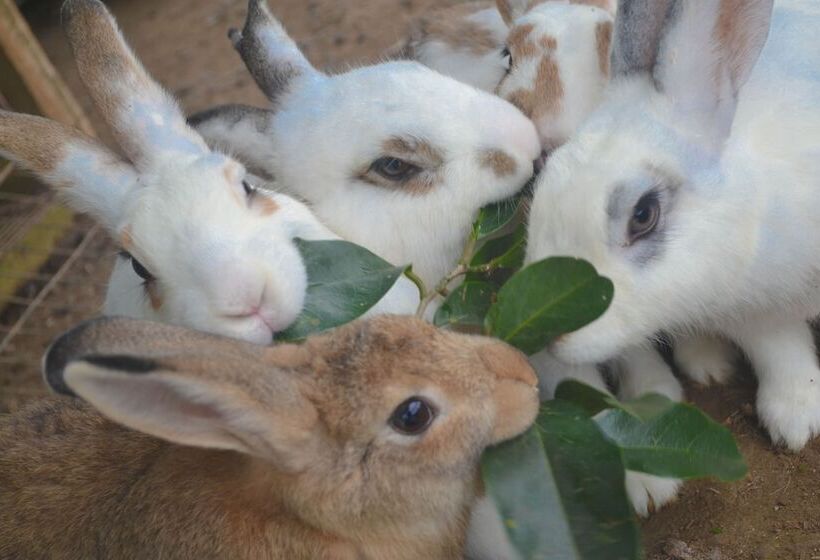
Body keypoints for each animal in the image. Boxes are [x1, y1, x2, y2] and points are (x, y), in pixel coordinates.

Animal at [524, 0, 820, 452]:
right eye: (545, 175)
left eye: (643, 214)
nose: (547, 335)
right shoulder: (752, 305)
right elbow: (778, 345)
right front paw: (796, 417)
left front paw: (797, 424)